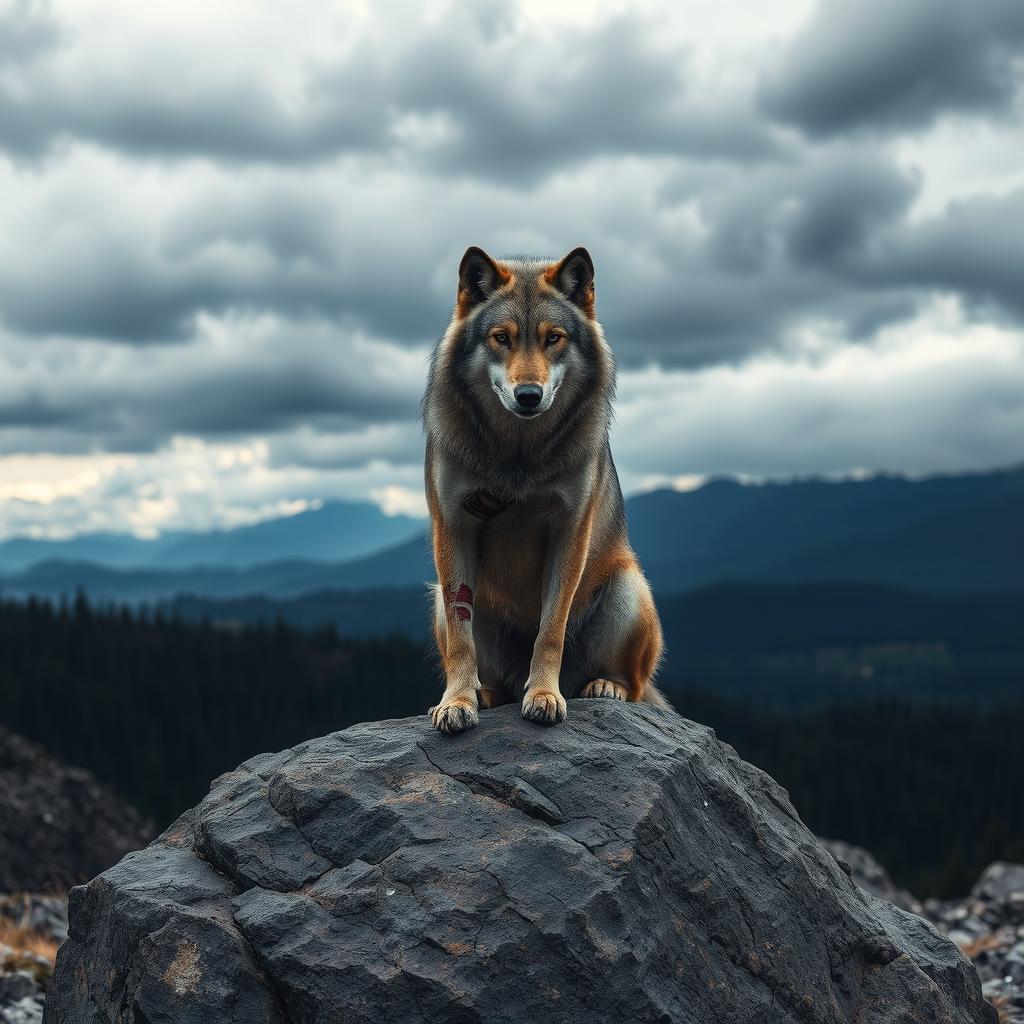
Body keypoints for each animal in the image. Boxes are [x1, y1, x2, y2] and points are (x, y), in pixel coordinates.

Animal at [421, 244, 667, 733]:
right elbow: (461, 639)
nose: (529, 395)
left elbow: (550, 628)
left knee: (635, 685)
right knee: (490, 671)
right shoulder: (454, 528)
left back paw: (601, 687)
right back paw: (487, 694)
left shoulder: (569, 529)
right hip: (438, 596)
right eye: (501, 338)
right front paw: (456, 702)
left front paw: (544, 696)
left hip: (629, 589)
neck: (518, 456)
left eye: (554, 338)